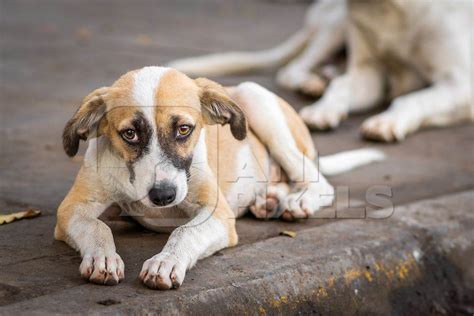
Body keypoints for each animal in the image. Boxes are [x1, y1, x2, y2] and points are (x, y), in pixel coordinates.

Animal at [55, 66, 384, 288]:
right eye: (130, 134)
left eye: (184, 129)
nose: (163, 195)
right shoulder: (72, 208)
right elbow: (97, 227)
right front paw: (102, 258)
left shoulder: (218, 214)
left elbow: (185, 231)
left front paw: (165, 262)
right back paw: (270, 200)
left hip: (256, 99)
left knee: (319, 183)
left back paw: (297, 201)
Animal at [168, 0, 472, 142]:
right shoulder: (368, 73)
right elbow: (343, 87)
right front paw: (323, 110)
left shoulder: (461, 85)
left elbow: (413, 99)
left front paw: (387, 121)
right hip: (336, 24)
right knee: (293, 68)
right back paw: (314, 83)